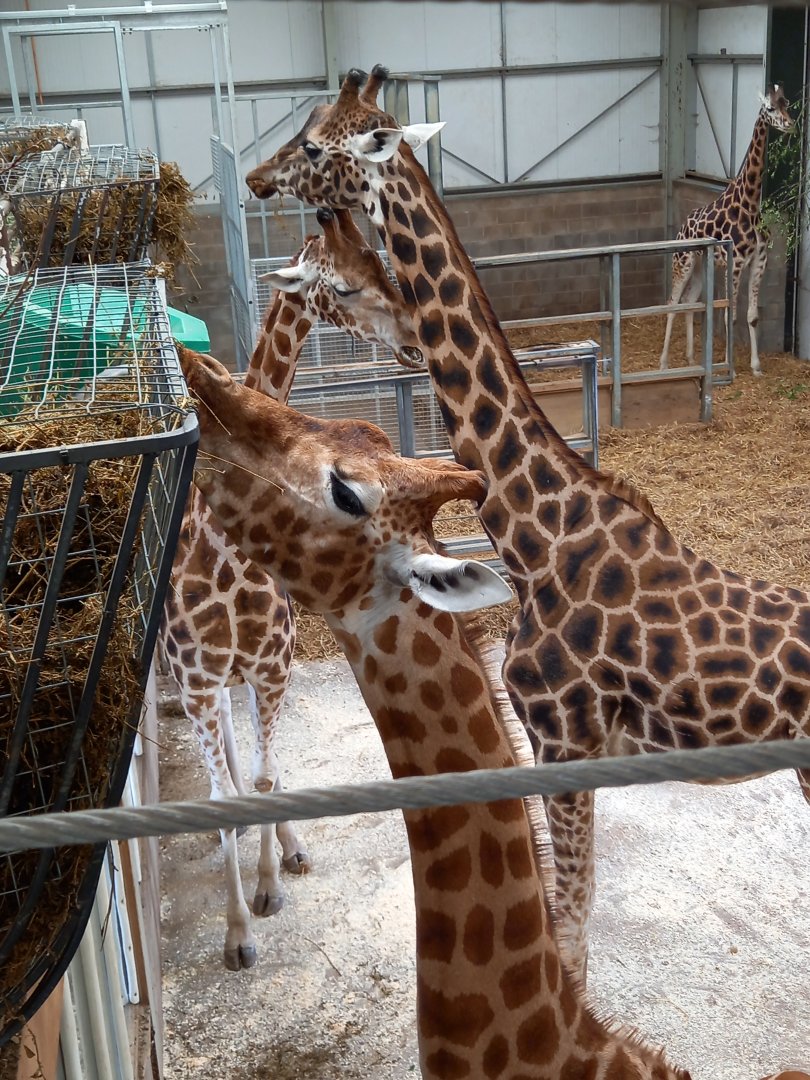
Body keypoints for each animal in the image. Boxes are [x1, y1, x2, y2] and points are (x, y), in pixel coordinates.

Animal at [162, 206, 423, 970]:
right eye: (339, 285)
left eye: (380, 258)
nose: (415, 338)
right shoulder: (197, 680)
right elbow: (226, 793)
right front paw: (237, 932)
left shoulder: (272, 667)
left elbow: (265, 778)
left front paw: (271, 885)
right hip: (194, 679)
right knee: (221, 763)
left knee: (253, 763)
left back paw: (289, 846)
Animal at [659, 84, 793, 376]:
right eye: (770, 108)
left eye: (786, 103)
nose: (790, 124)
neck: (750, 204)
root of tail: (681, 228)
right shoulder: (736, 261)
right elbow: (728, 314)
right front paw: (728, 367)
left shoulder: (759, 260)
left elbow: (752, 316)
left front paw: (756, 367)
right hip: (683, 261)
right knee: (673, 303)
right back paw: (663, 363)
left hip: (700, 264)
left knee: (690, 300)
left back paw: (690, 359)